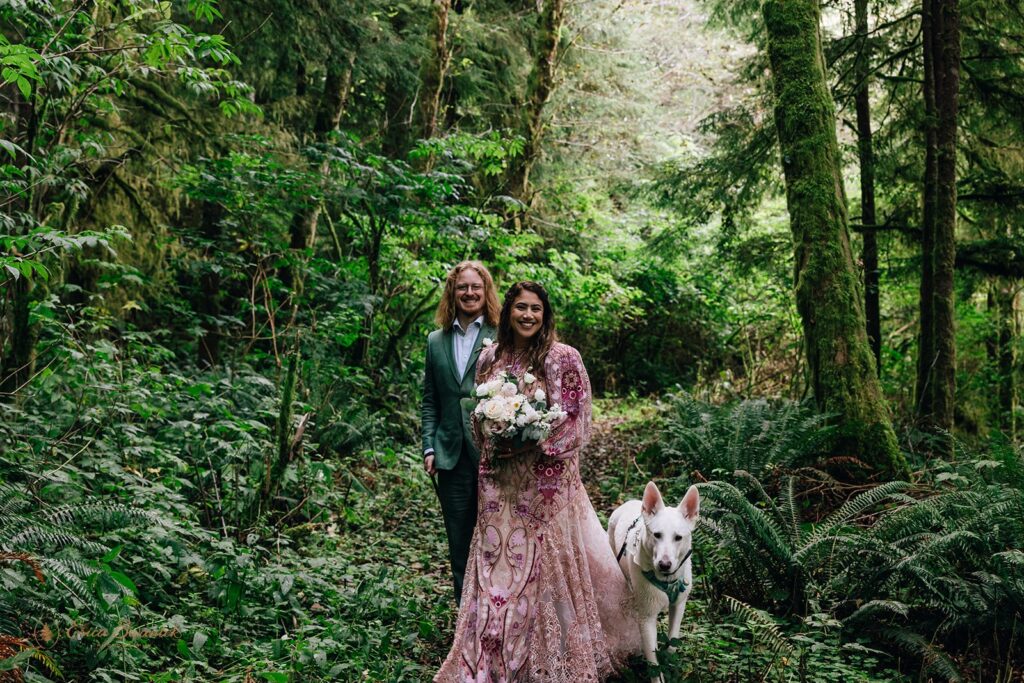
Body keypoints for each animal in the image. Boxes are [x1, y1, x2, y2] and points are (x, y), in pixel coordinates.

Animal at [606, 483, 696, 679]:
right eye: (657, 535)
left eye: (678, 537)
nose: (664, 565)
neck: (667, 580)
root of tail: (629, 502)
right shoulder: (646, 619)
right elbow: (654, 664)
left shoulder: (679, 605)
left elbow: (672, 644)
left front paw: (670, 664)